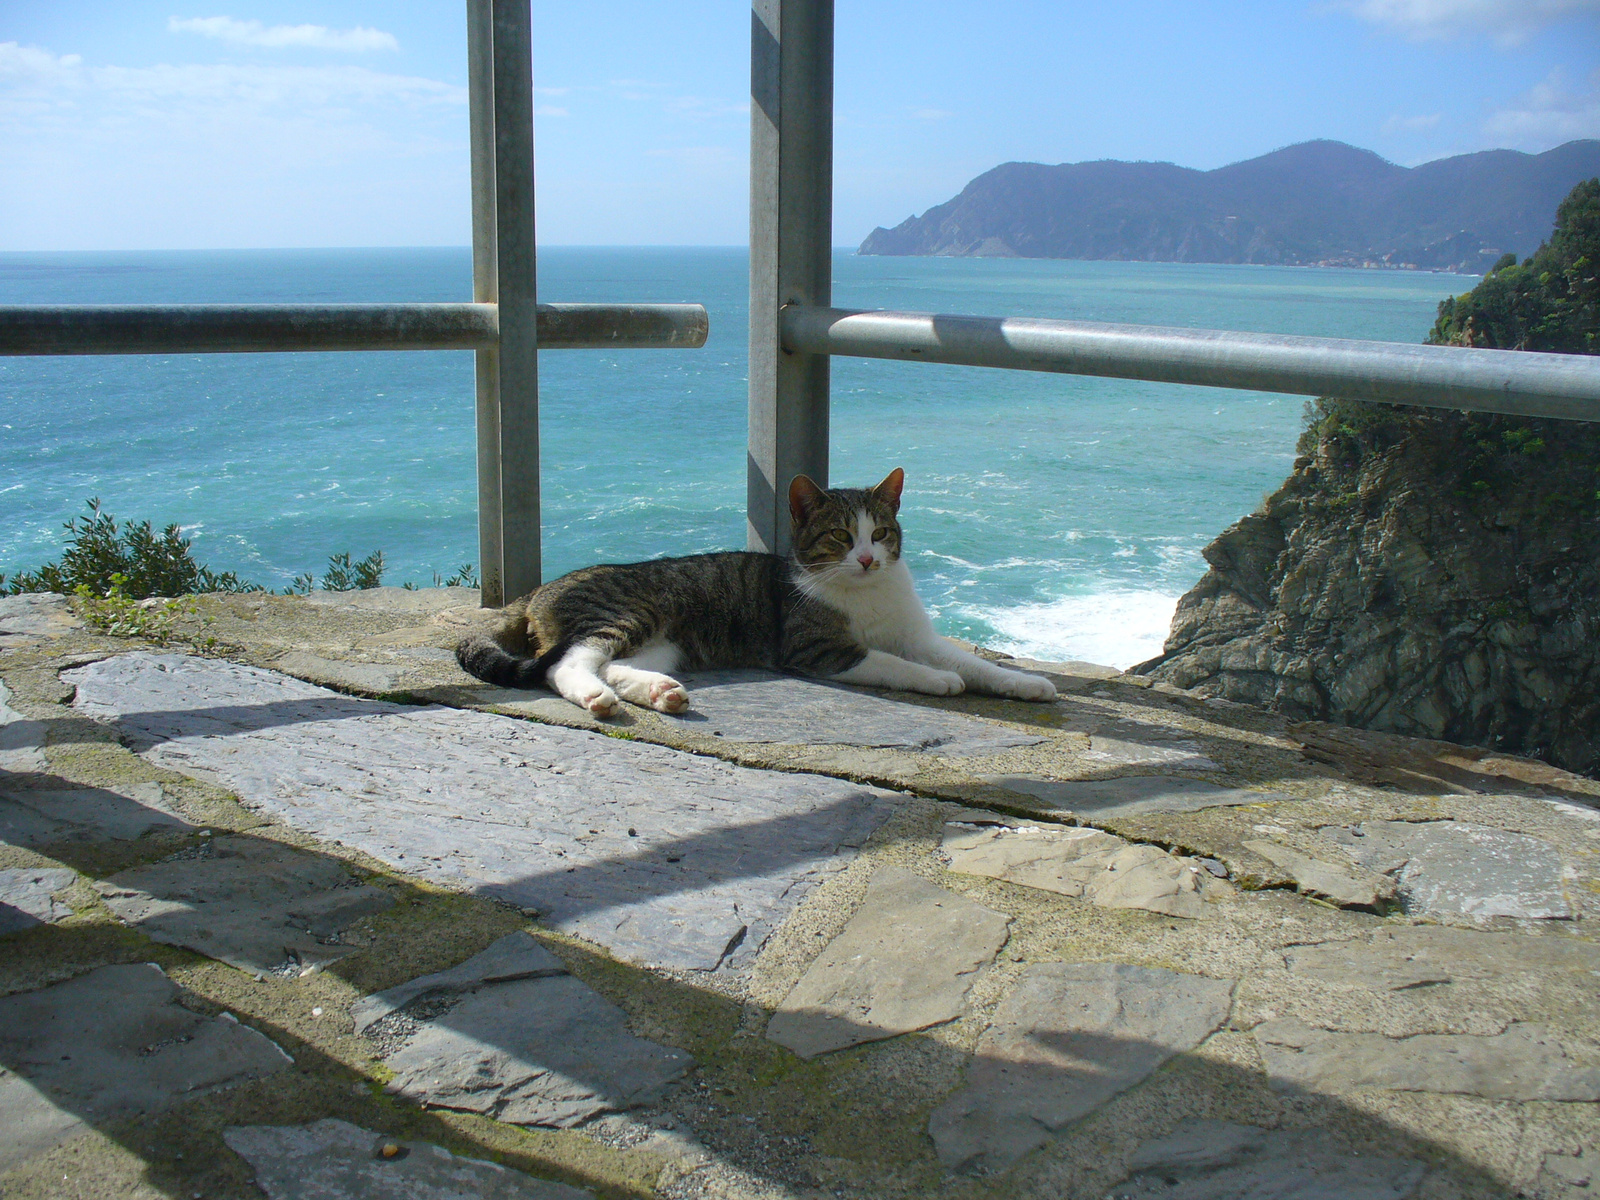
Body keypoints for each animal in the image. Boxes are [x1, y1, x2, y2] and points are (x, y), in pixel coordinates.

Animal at [457, 467, 1056, 713]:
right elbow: (895, 664)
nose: (866, 559)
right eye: (840, 537)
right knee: (567, 663)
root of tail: (540, 590)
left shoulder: (916, 634)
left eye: (881, 533)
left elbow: (970, 661)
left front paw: (1026, 683)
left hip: (664, 641)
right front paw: (939, 681)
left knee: (614, 665)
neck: (866, 595)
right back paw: (595, 697)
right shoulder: (817, 649)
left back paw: (660, 692)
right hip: (625, 612)